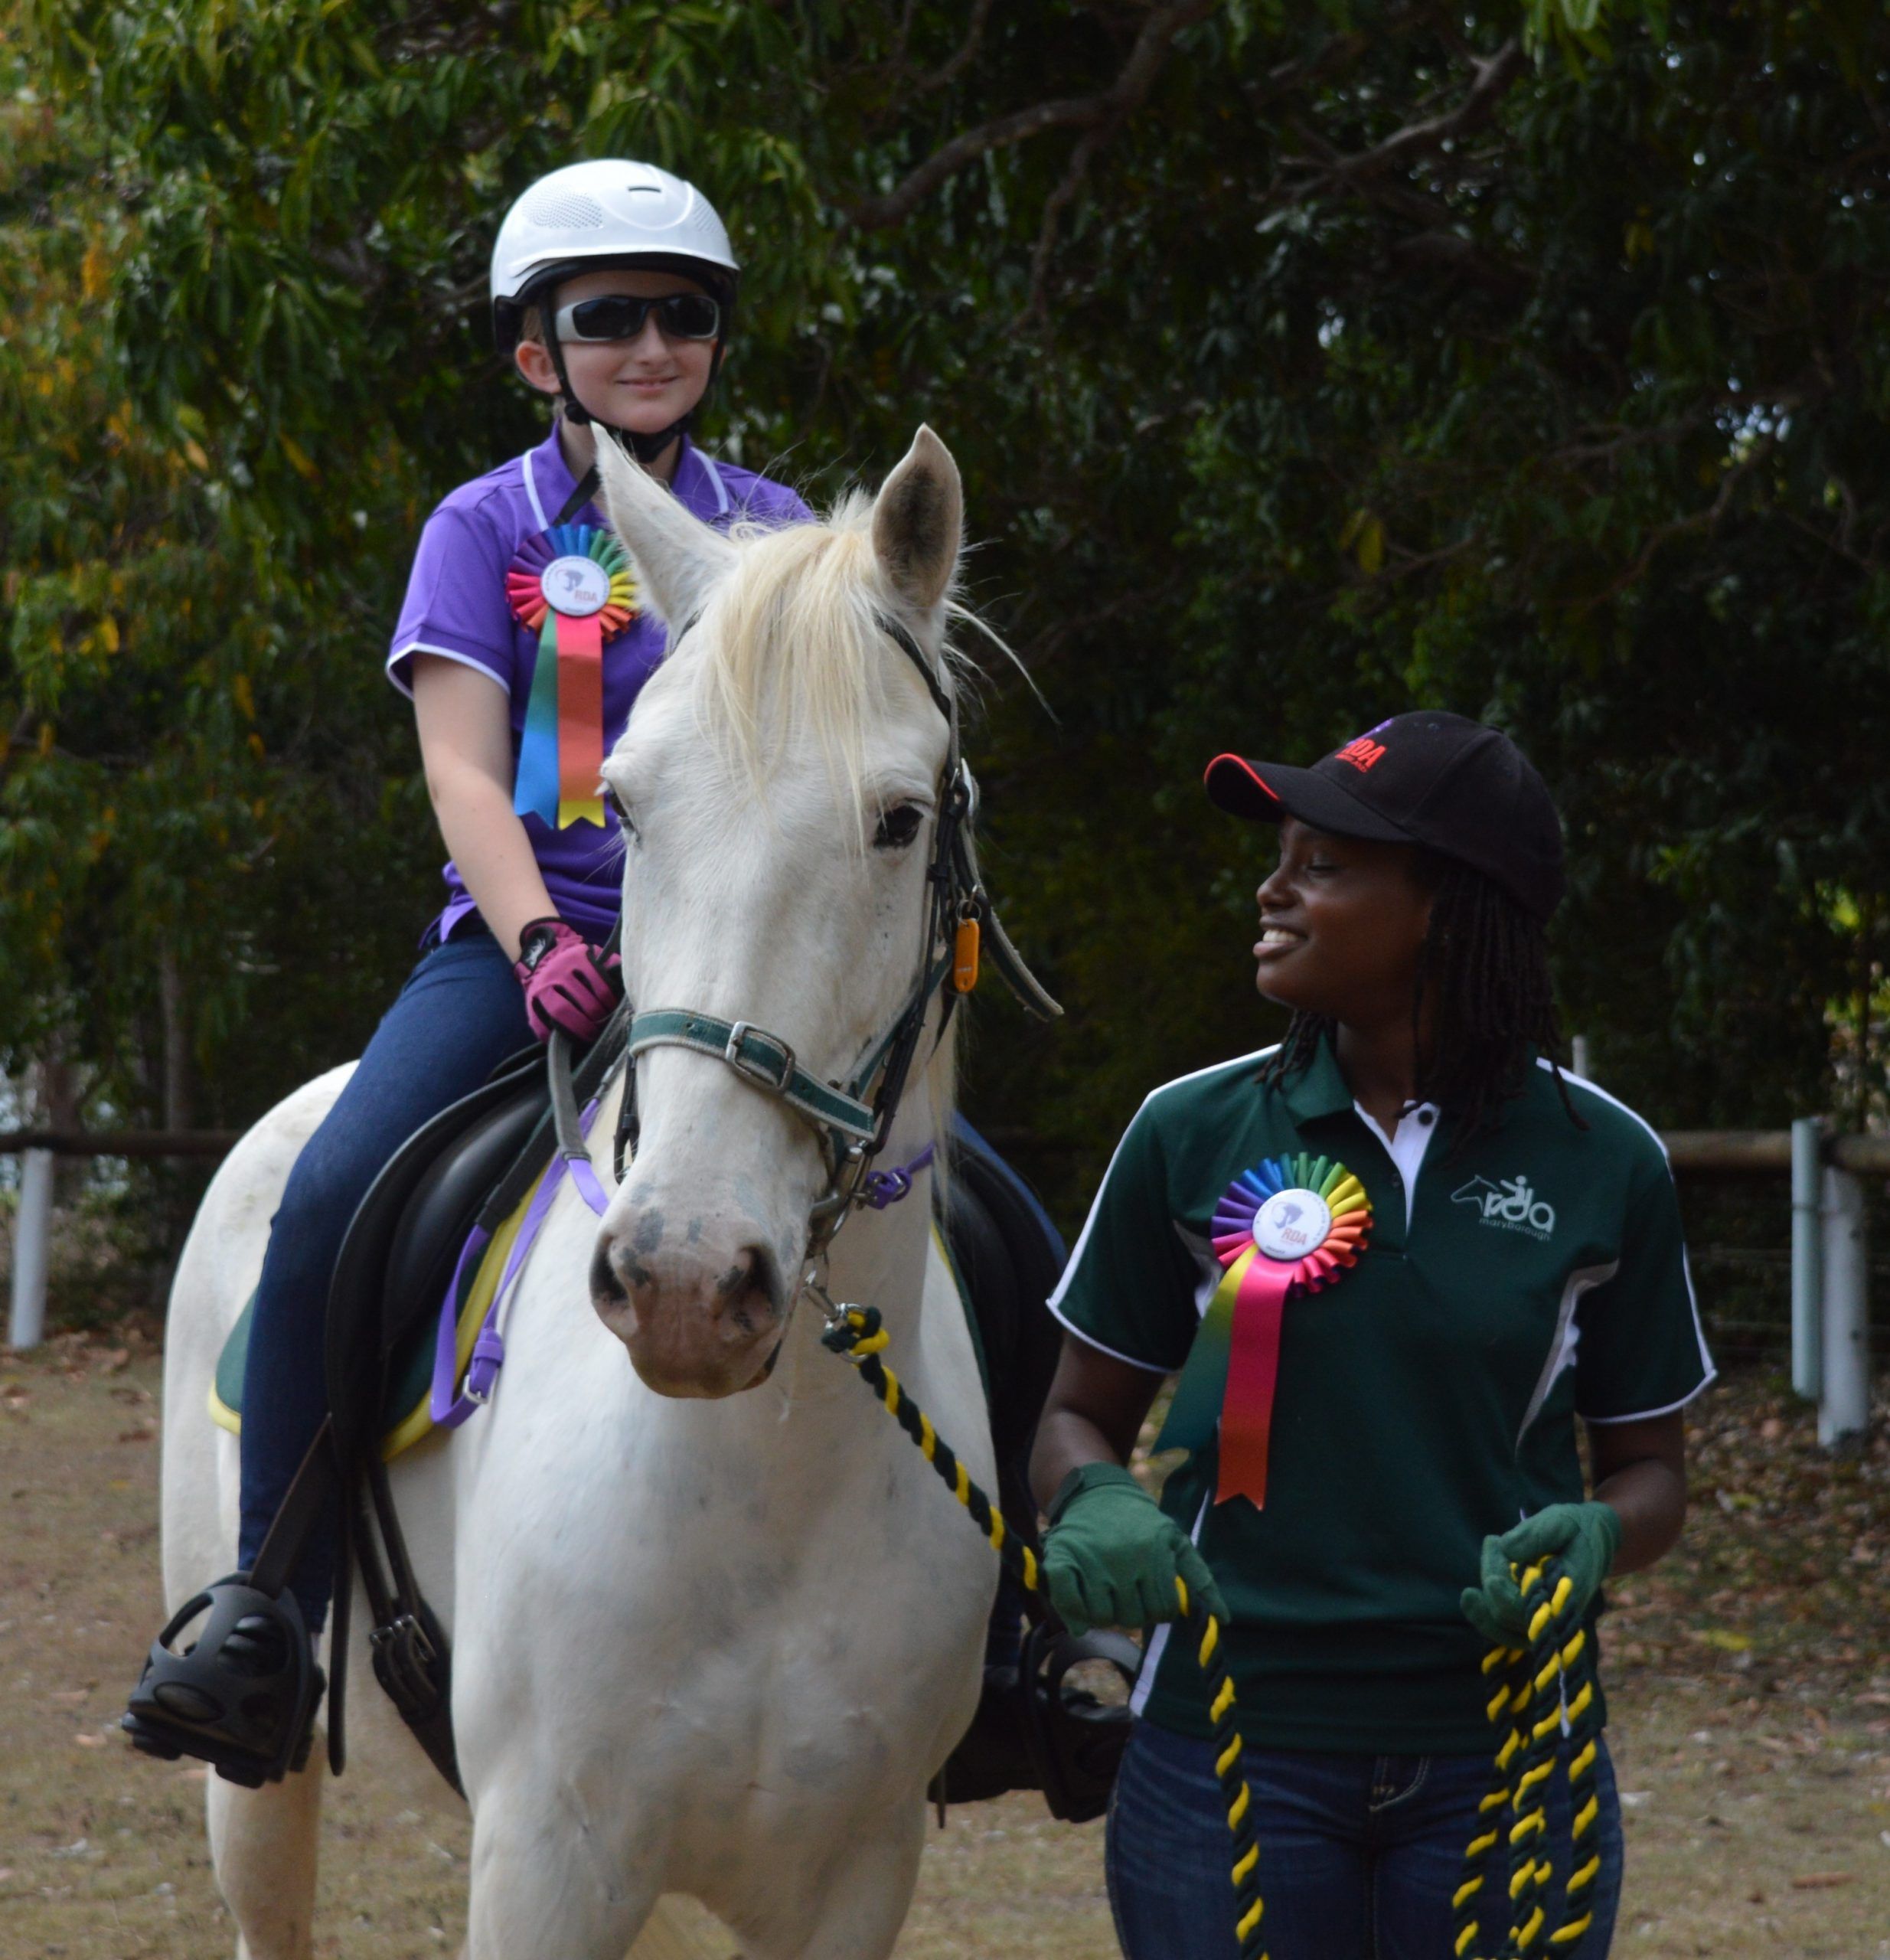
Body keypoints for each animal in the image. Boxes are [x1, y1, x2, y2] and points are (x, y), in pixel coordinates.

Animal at [156, 426, 1003, 1958]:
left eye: (901, 822)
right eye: (625, 809)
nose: (683, 1286)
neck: (761, 1486)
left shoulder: (856, 1871)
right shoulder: (546, 1861)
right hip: (259, 1783)